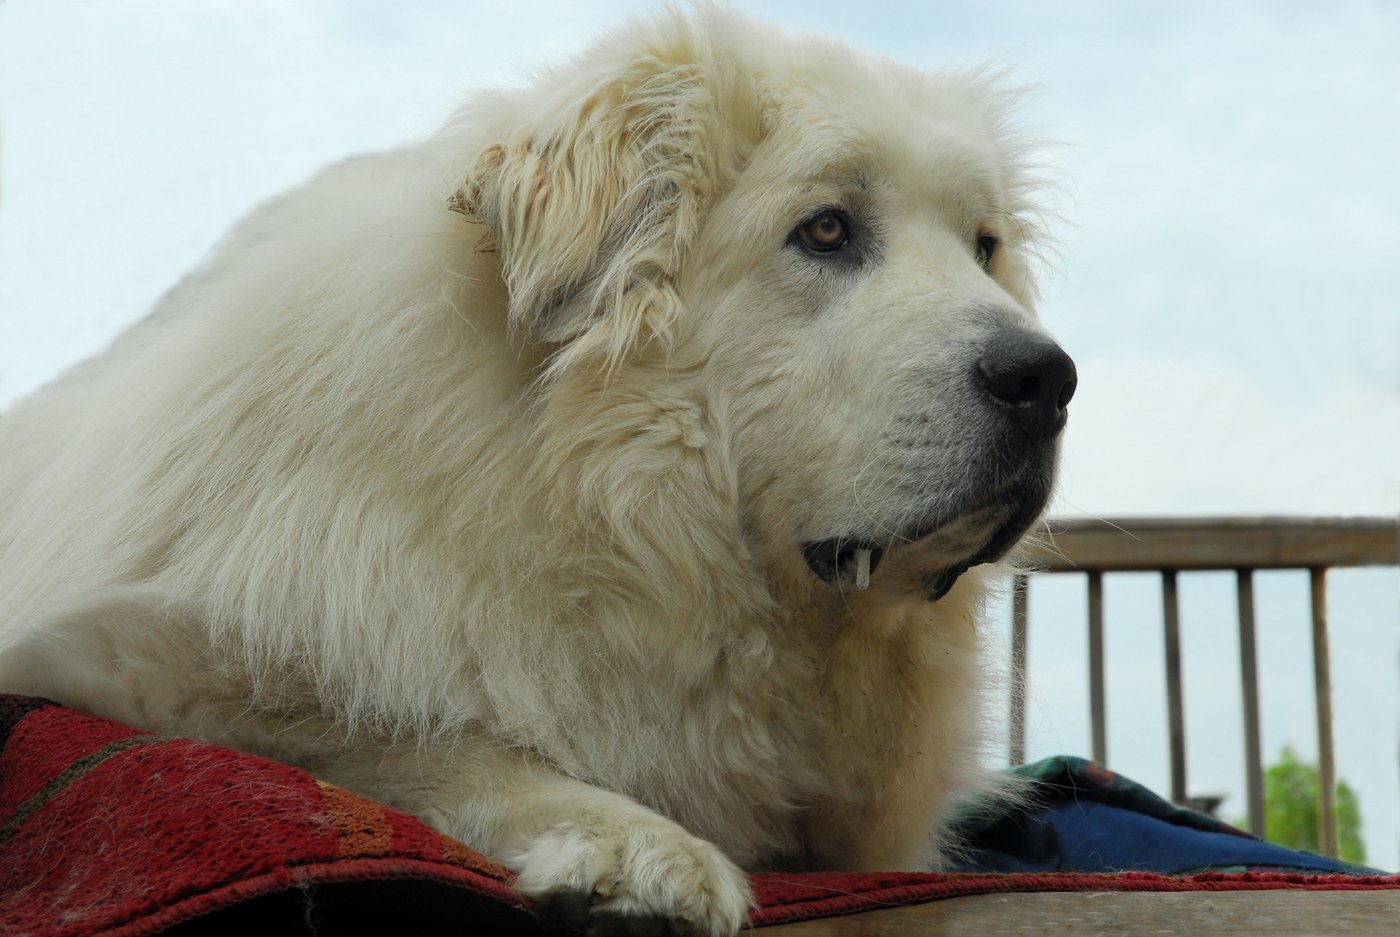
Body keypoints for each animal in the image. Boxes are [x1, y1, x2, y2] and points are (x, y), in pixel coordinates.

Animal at [0, 9, 1069, 935]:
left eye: (984, 248)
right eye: (827, 230)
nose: (1046, 379)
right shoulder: (131, 653)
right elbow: (406, 735)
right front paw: (636, 846)